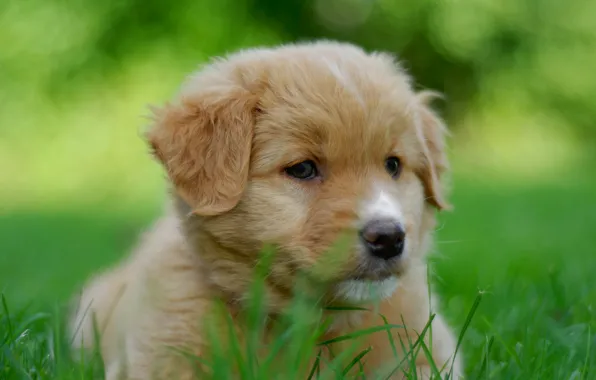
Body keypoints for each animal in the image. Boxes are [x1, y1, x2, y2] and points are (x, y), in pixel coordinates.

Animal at [68, 40, 460, 378]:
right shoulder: (158, 356)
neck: (305, 320)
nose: (389, 238)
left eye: (393, 165)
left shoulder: (428, 350)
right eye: (302, 169)